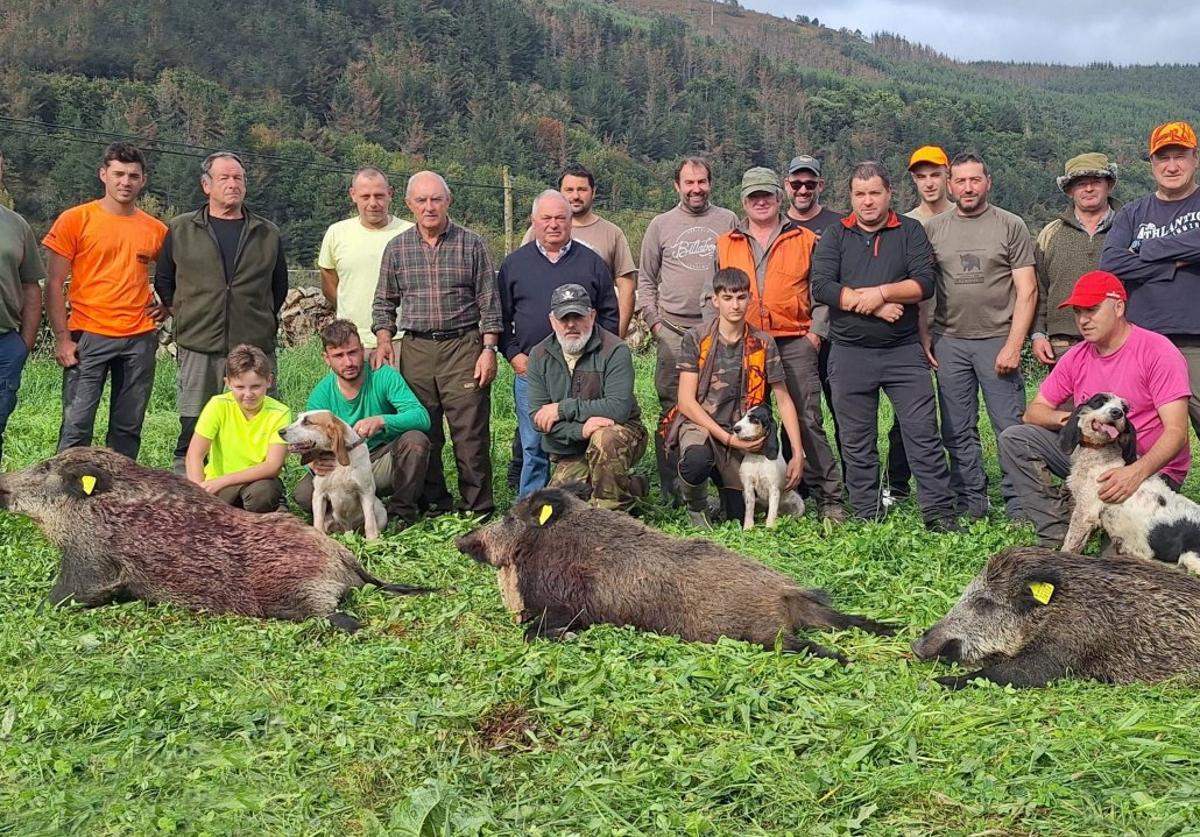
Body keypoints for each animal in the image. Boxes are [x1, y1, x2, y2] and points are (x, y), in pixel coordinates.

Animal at [1060, 390, 1200, 573]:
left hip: (1191, 559)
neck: (1100, 453)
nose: (1117, 413)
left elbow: (1069, 545)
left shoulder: (1085, 512)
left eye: (1125, 409)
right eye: (1100, 400)